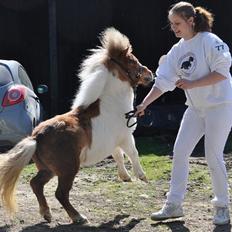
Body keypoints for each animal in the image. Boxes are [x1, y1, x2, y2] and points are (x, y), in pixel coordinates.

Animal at [0, 27, 153, 225]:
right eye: (133, 61)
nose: (150, 75)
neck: (112, 103)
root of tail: (36, 137)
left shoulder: (113, 142)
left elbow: (118, 156)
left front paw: (125, 177)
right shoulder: (126, 137)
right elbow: (133, 153)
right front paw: (141, 176)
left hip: (48, 169)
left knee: (36, 184)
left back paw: (47, 214)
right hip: (68, 169)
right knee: (60, 193)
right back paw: (78, 217)